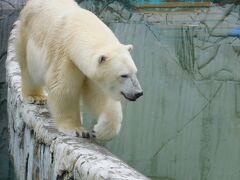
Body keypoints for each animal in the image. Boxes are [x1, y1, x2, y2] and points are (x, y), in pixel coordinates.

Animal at [15, 0, 142, 141]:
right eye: (124, 75)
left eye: (135, 72)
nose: (138, 93)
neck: (78, 29)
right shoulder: (65, 56)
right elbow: (64, 90)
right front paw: (78, 130)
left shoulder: (88, 71)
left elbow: (99, 96)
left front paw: (99, 130)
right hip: (26, 36)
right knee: (28, 68)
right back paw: (35, 97)